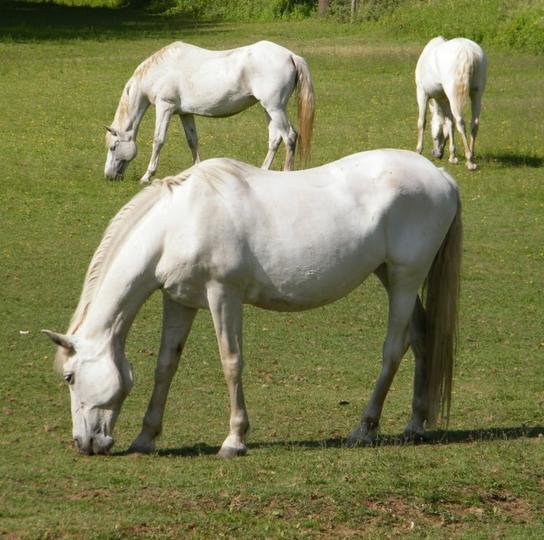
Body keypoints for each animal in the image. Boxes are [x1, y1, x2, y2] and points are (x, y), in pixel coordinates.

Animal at [42, 150, 462, 458]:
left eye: (70, 377)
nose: (84, 444)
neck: (179, 222)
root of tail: (440, 176)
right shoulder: (179, 300)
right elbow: (166, 365)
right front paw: (146, 438)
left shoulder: (223, 295)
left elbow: (231, 363)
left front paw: (234, 440)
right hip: (391, 277)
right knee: (421, 339)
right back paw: (414, 425)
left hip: (405, 278)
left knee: (394, 349)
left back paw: (364, 428)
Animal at [103, 40, 314, 184]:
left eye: (113, 147)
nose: (109, 176)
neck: (161, 70)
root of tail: (290, 56)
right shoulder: (185, 113)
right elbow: (192, 141)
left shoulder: (165, 107)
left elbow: (158, 141)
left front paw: (146, 176)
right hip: (269, 110)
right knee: (275, 139)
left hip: (275, 108)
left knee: (290, 137)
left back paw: (287, 173)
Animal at [414, 35, 486, 170]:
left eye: (435, 136)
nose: (437, 154)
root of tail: (467, 51)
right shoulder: (444, 100)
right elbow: (449, 123)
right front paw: (452, 156)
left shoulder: (422, 93)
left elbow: (422, 122)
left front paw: (418, 150)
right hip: (476, 94)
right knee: (474, 123)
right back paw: (472, 155)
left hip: (454, 97)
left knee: (460, 123)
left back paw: (469, 160)